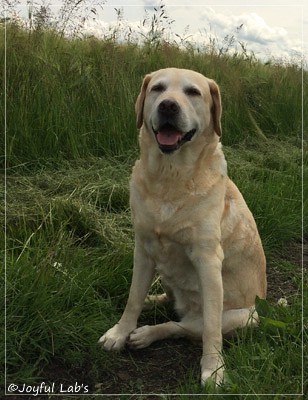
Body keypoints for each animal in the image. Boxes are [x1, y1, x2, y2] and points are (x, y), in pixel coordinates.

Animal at [99, 67, 268, 386]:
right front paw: (119, 332)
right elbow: (132, 298)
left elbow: (211, 329)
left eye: (193, 92)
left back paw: (148, 333)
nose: (168, 105)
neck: (170, 177)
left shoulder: (208, 261)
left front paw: (214, 369)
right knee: (170, 302)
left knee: (186, 327)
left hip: (245, 316)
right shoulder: (143, 248)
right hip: (163, 268)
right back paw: (151, 306)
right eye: (158, 88)